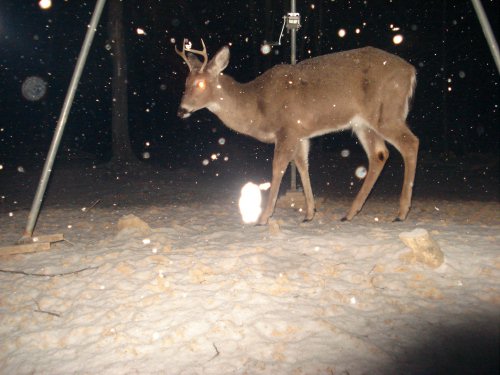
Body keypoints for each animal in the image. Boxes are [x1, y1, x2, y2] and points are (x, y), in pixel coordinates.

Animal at [175, 38, 418, 226]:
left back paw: (401, 213)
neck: (257, 105)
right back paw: (349, 213)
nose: (181, 110)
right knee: (379, 154)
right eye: (185, 82)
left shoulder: (288, 129)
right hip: (362, 123)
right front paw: (309, 214)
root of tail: (411, 71)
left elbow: (278, 167)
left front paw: (264, 217)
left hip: (387, 112)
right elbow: (302, 166)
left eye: (200, 84)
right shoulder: (301, 134)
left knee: (410, 143)